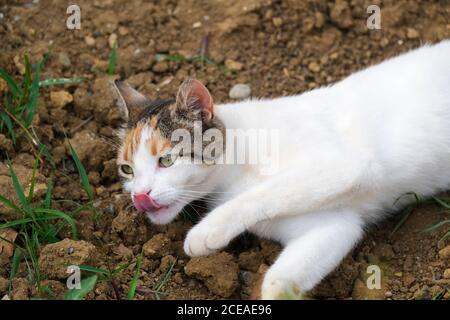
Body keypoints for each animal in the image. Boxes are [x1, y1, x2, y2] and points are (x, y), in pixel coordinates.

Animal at [113, 40, 450, 300]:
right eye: (127, 170)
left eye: (166, 161)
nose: (140, 196)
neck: (237, 167)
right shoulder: (336, 225)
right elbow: (282, 281)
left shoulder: (344, 163)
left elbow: (267, 192)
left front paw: (206, 232)